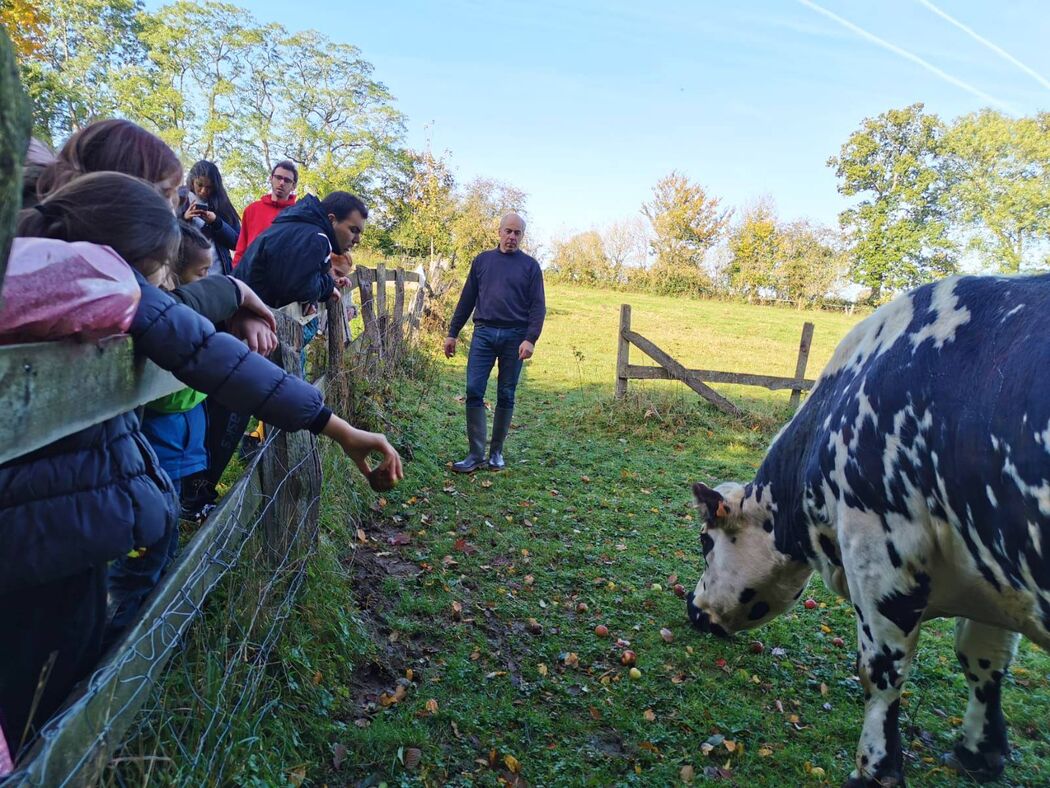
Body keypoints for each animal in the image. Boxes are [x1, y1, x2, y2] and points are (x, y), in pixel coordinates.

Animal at [684, 275, 1050, 785]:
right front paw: (980, 753)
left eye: (705, 542)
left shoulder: (880, 557)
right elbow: (983, 660)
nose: (692, 608)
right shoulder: (995, 583)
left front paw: (875, 768)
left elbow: (880, 672)